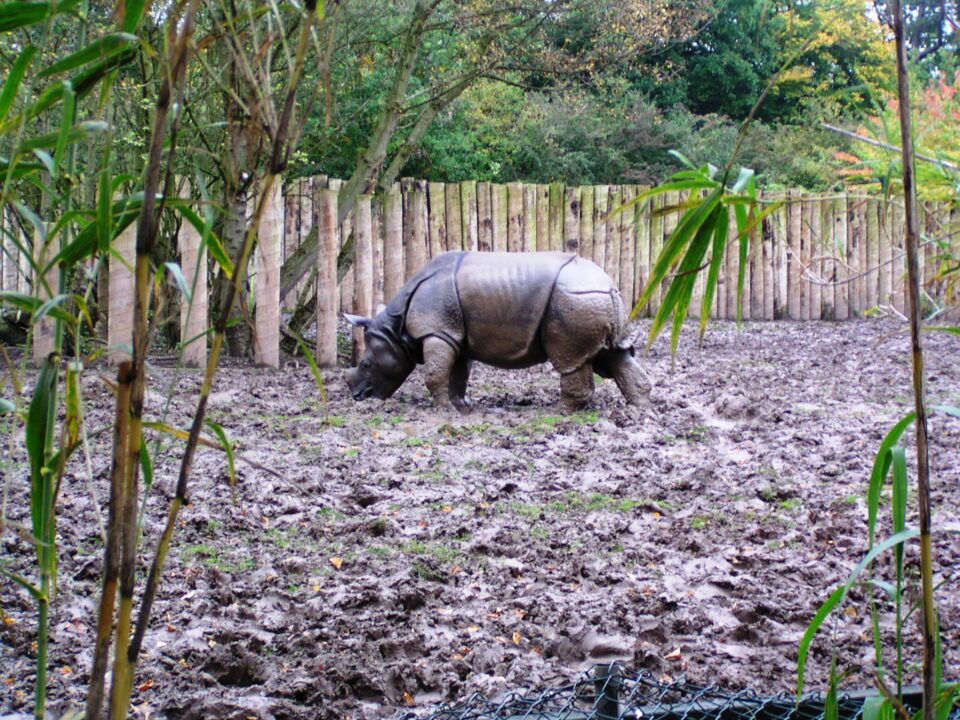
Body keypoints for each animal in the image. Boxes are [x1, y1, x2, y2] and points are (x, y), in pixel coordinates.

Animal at [345, 251, 649, 412]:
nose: (358, 397)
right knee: (614, 355)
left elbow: (436, 373)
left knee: (570, 359)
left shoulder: (438, 331)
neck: (394, 328)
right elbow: (458, 372)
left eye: (366, 364)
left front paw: (444, 410)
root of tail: (608, 284)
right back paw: (639, 408)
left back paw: (560, 411)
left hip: (575, 299)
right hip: (597, 300)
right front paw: (460, 405)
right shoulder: (454, 333)